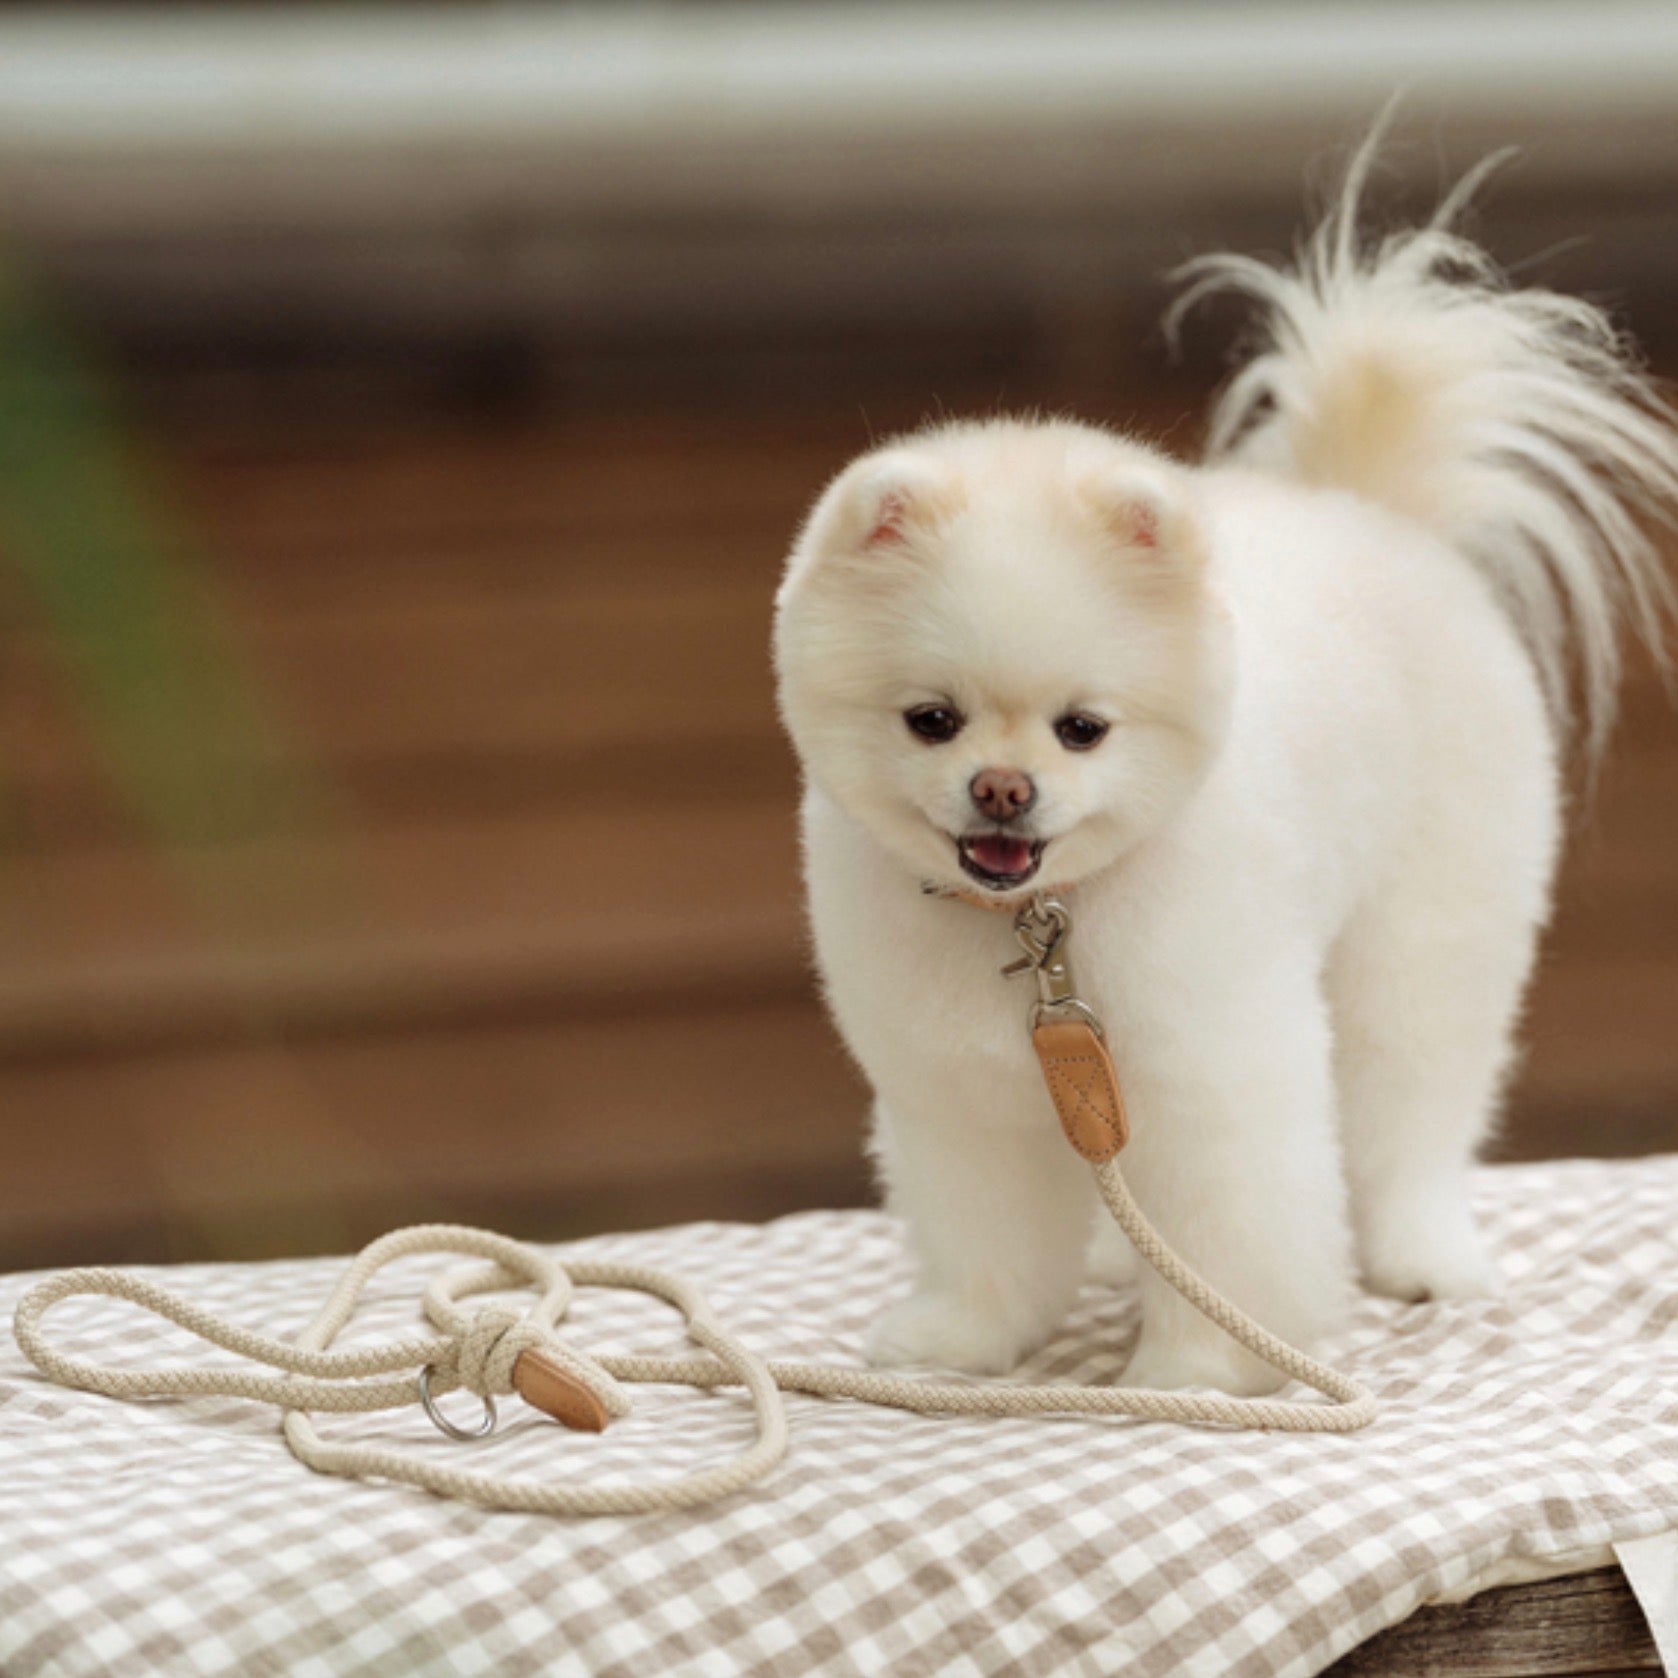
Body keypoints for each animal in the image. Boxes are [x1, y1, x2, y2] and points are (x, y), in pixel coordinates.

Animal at [772, 147, 1678, 1395]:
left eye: (1082, 730)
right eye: (931, 720)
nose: (1002, 790)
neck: (1047, 919)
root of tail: (1368, 507)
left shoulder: (1208, 1066)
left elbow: (1224, 1226)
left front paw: (1197, 1367)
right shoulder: (957, 1087)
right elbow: (986, 1228)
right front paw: (962, 1336)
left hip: (1419, 937)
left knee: (1411, 1107)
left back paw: (1421, 1253)